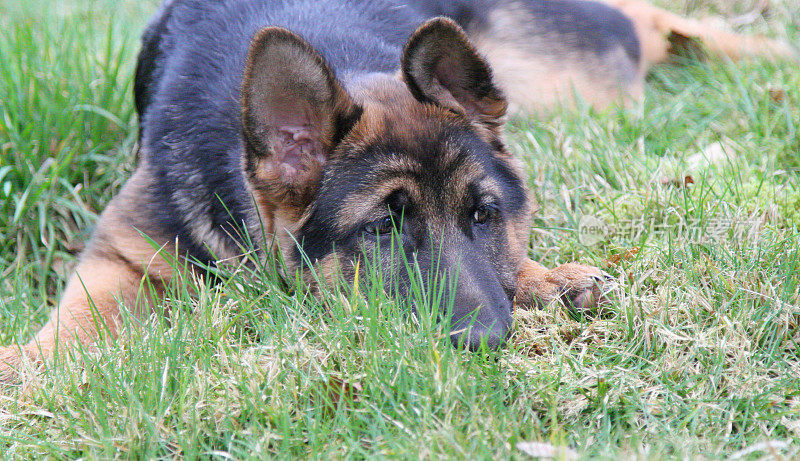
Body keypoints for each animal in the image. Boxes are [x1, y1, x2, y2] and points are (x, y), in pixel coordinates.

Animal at [0, 0, 792, 380]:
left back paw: (768, 55)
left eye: (484, 213)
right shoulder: (124, 256)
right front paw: (23, 369)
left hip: (564, 77)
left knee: (645, 20)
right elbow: (71, 325)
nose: (486, 342)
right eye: (382, 229)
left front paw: (550, 277)